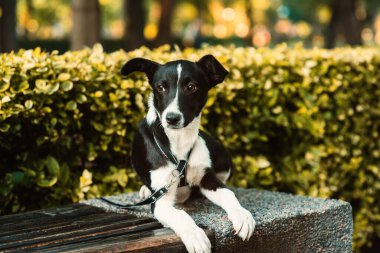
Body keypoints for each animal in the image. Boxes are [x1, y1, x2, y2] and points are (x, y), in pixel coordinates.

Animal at [121, 55, 255, 253]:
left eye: (191, 87)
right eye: (161, 87)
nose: (172, 118)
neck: (179, 141)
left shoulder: (207, 177)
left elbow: (228, 194)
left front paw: (242, 215)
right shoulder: (160, 202)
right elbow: (181, 216)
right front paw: (195, 235)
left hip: (223, 154)